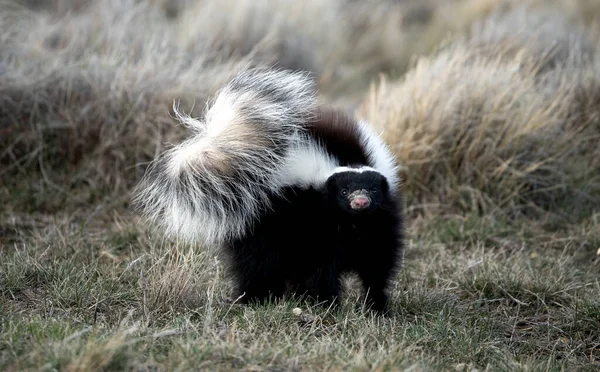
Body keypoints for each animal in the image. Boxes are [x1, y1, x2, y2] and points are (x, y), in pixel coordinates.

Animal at [134, 68, 406, 312]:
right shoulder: (318, 223)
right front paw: (328, 304)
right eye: (344, 192)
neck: (352, 223)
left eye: (372, 190)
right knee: (257, 263)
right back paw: (256, 298)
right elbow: (322, 268)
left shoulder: (378, 222)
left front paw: (376, 306)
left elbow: (377, 263)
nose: (360, 202)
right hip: (259, 217)